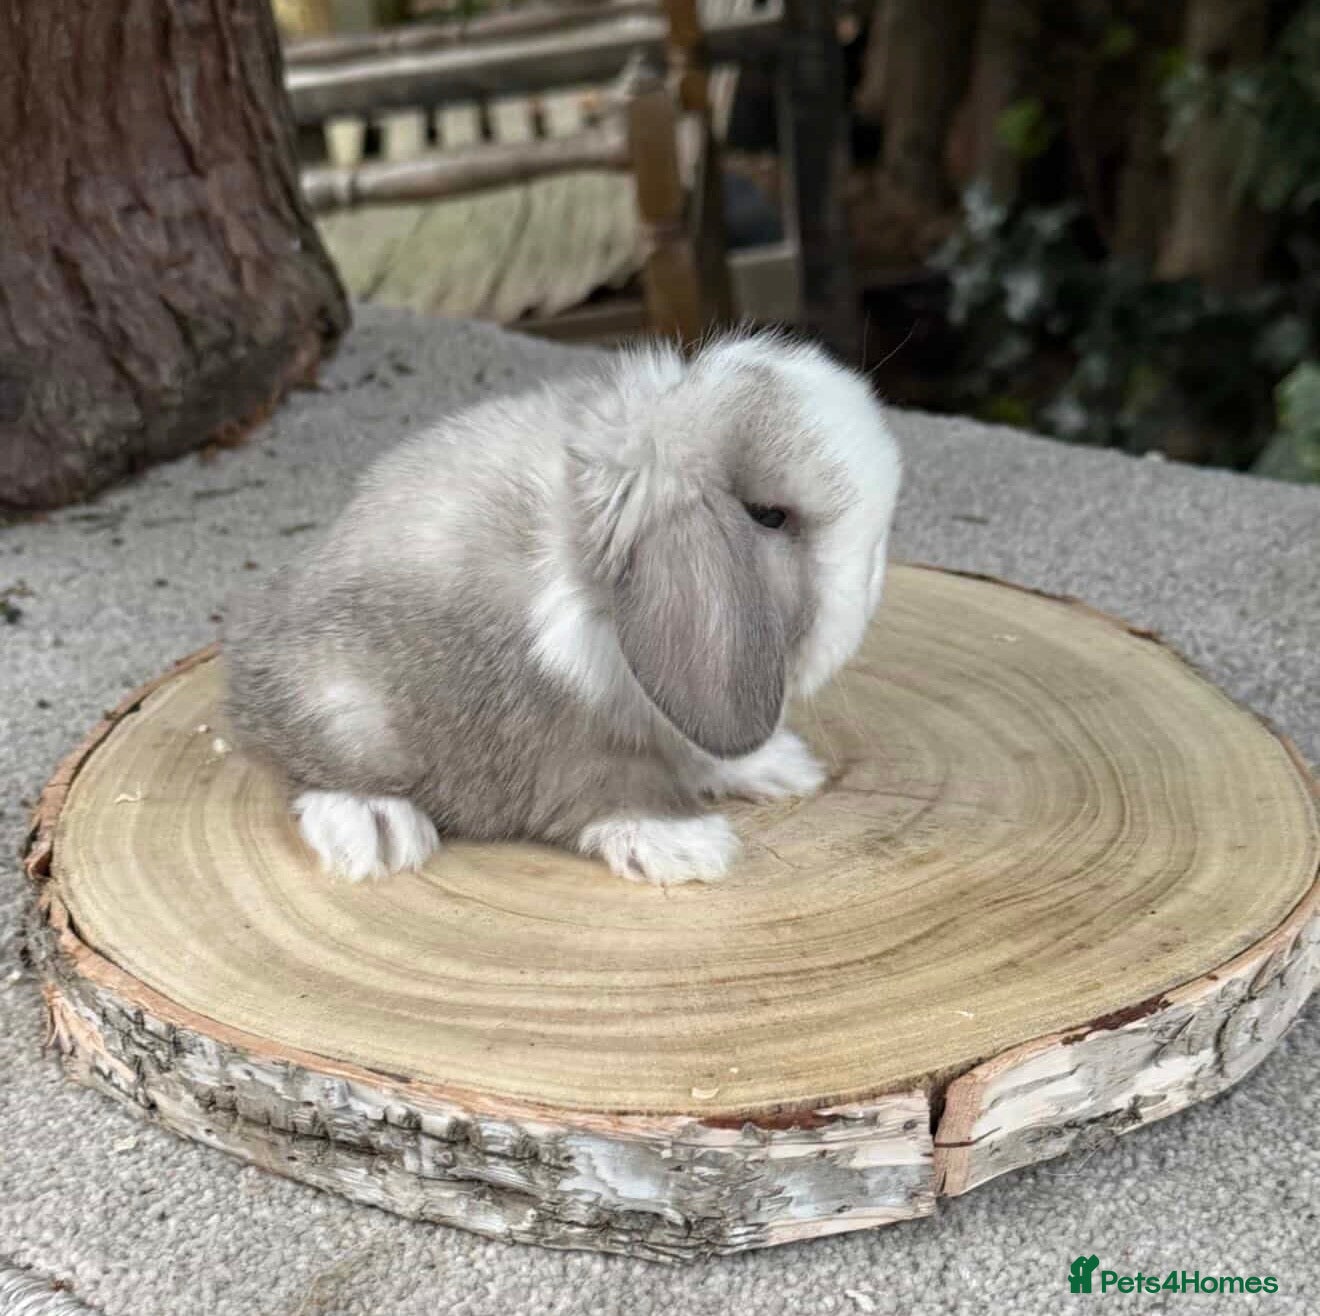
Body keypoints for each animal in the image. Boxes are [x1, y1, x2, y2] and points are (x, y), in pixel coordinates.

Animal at [222, 329, 901, 886]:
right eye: (769, 516)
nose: (870, 585)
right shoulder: (556, 724)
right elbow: (608, 786)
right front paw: (684, 846)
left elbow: (702, 751)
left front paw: (779, 768)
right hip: (340, 704)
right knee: (307, 766)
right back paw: (375, 829)